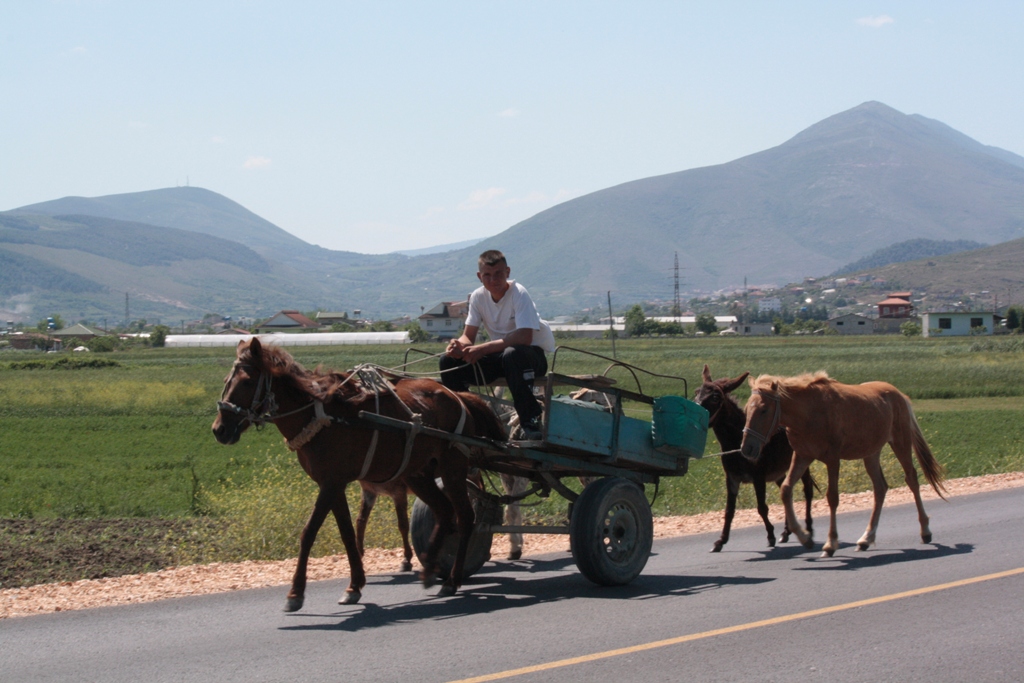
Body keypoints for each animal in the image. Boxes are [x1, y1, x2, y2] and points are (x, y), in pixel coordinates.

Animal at [212, 339, 507, 610]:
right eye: (226, 380)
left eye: (247, 382)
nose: (219, 429)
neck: (322, 416)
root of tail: (458, 396)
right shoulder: (336, 484)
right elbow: (348, 532)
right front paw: (354, 586)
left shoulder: (331, 484)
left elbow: (309, 532)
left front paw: (295, 593)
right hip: (419, 474)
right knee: (445, 512)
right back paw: (429, 570)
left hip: (452, 469)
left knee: (465, 517)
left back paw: (452, 580)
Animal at [692, 366, 811, 552]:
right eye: (696, 392)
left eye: (715, 397)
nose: (694, 415)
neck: (736, 441)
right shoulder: (732, 478)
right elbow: (729, 510)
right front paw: (720, 541)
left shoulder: (758, 477)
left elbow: (762, 507)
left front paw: (770, 536)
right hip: (779, 473)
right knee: (786, 491)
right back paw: (786, 532)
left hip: (801, 463)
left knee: (807, 491)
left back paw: (805, 529)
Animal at [741, 370, 946, 557]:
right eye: (746, 409)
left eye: (763, 410)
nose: (747, 448)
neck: (810, 413)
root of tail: (900, 395)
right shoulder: (802, 456)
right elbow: (786, 489)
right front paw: (804, 537)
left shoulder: (832, 459)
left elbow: (832, 497)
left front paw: (830, 544)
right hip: (871, 454)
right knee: (880, 488)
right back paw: (866, 539)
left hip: (900, 443)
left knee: (911, 479)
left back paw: (925, 531)